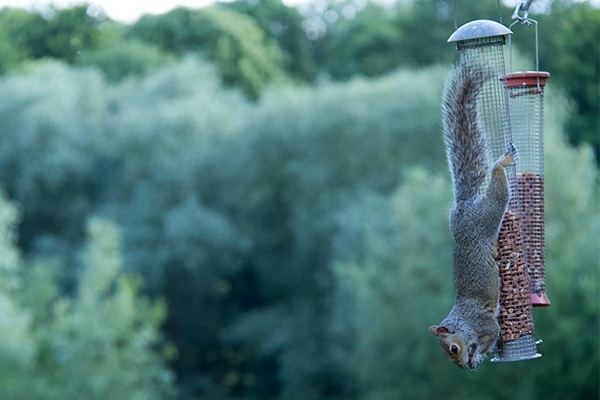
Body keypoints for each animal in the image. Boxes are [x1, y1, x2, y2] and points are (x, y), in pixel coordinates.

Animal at [428, 65, 516, 368]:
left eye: (453, 348)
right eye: (448, 354)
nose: (464, 367)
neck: (465, 325)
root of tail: (465, 208)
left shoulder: (486, 325)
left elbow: (493, 334)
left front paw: (477, 357)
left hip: (489, 213)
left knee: (498, 189)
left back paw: (502, 163)